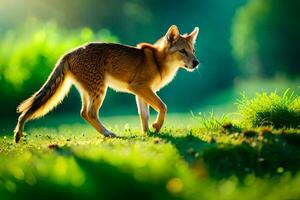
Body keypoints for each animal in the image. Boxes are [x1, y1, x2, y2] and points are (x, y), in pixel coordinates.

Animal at [14, 25, 199, 143]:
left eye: (193, 51)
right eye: (182, 51)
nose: (196, 63)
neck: (158, 61)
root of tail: (70, 52)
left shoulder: (140, 92)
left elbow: (144, 115)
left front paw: (148, 133)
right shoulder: (139, 87)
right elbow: (162, 106)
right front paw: (157, 127)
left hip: (88, 91)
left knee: (84, 113)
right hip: (100, 89)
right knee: (90, 113)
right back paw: (108, 133)